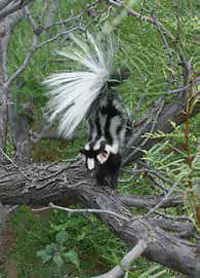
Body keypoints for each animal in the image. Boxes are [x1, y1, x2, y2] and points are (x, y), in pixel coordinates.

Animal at [43, 33, 131, 188]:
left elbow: (115, 167)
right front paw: (101, 181)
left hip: (119, 107)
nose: (90, 169)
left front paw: (112, 184)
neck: (101, 139)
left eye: (96, 161)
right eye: (86, 162)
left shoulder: (114, 154)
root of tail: (104, 90)